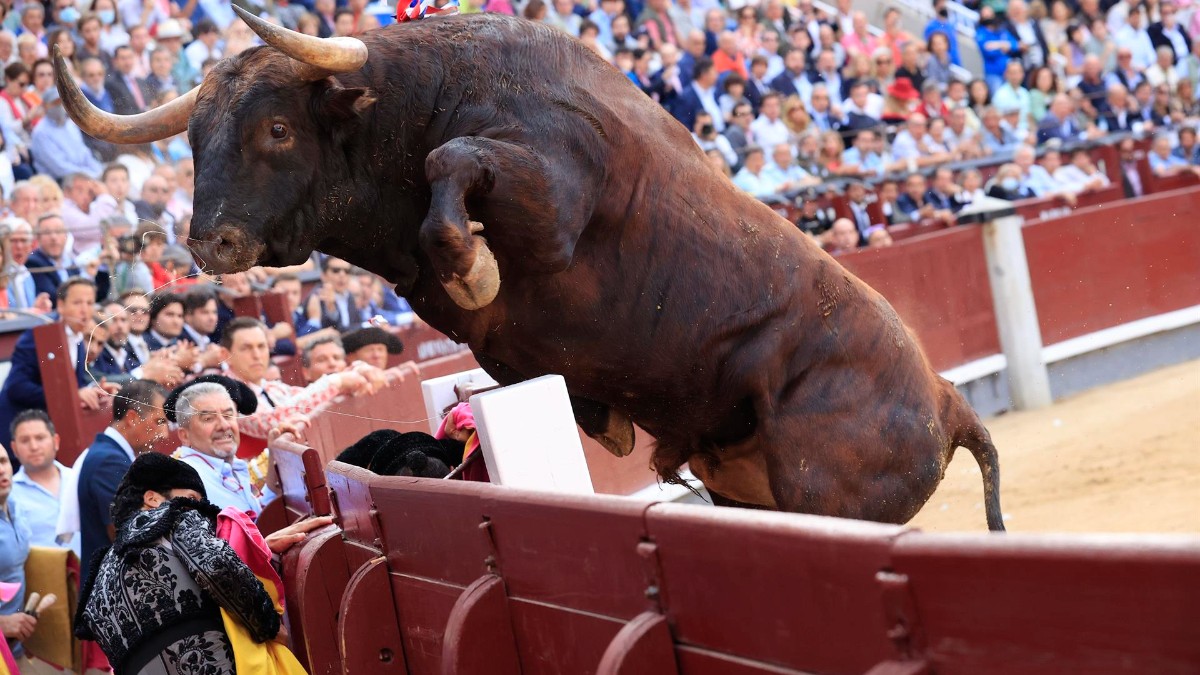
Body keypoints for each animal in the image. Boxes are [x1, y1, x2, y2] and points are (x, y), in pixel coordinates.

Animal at [51, 7, 1003, 528]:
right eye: (193, 139)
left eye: (276, 128)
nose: (209, 242)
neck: (420, 101)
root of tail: (948, 399)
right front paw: (598, 417)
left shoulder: (551, 201)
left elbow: (457, 165)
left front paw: (473, 266)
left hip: (825, 492)